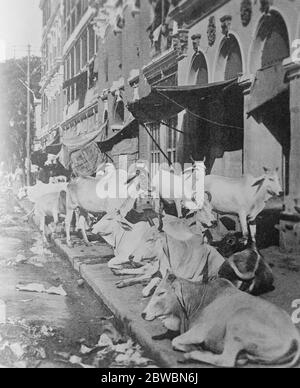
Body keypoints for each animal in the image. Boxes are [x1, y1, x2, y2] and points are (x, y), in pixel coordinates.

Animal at [142, 274, 300, 368]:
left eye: (161, 293)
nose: (143, 314)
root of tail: (294, 335)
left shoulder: (199, 331)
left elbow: (175, 341)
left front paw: (195, 348)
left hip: (238, 322)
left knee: (226, 360)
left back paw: (191, 355)